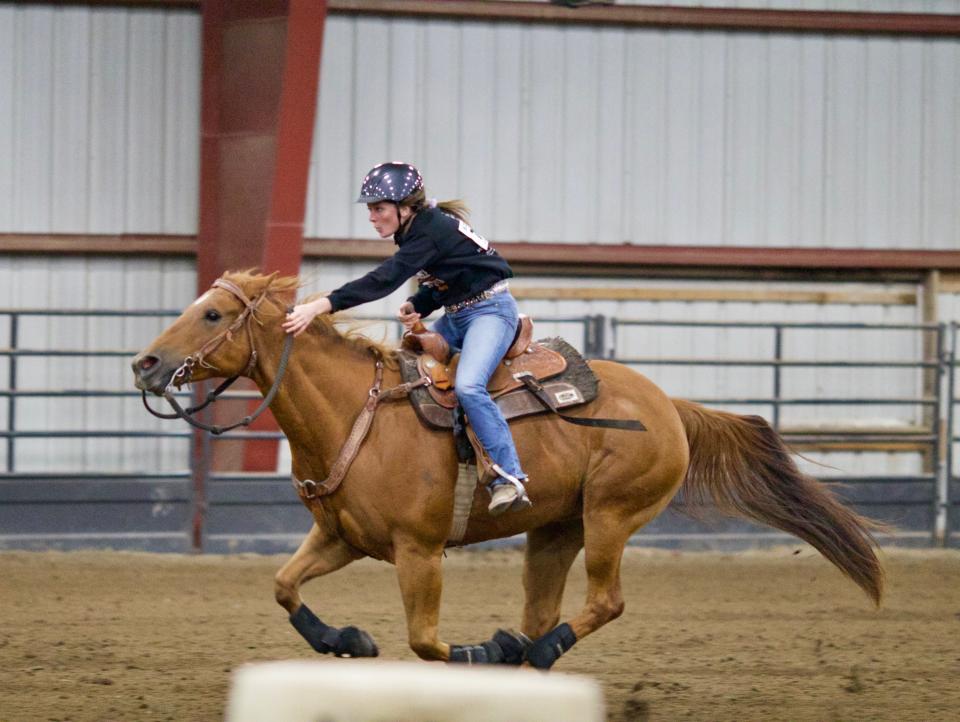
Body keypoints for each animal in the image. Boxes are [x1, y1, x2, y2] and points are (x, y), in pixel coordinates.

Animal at [131, 272, 880, 668]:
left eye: (213, 313)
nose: (145, 362)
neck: (354, 415)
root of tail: (669, 405)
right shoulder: (341, 537)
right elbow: (284, 586)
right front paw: (347, 639)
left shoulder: (419, 552)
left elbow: (427, 641)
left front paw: (484, 650)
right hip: (555, 530)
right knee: (546, 607)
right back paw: (530, 649)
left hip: (611, 516)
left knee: (603, 602)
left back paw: (530, 651)